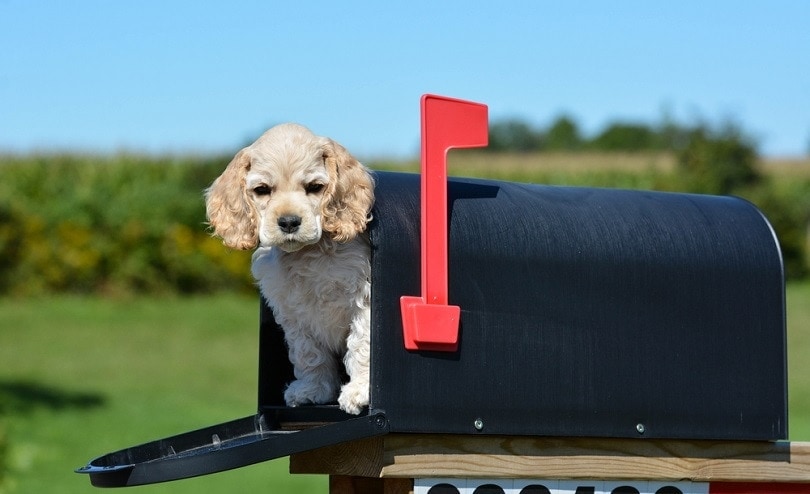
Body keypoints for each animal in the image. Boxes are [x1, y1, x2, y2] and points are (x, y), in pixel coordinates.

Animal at [205, 122, 376, 412]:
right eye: (262, 190)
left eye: (315, 187)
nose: (288, 222)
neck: (307, 253)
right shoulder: (294, 313)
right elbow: (309, 353)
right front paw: (312, 390)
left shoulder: (363, 298)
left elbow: (362, 344)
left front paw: (360, 391)